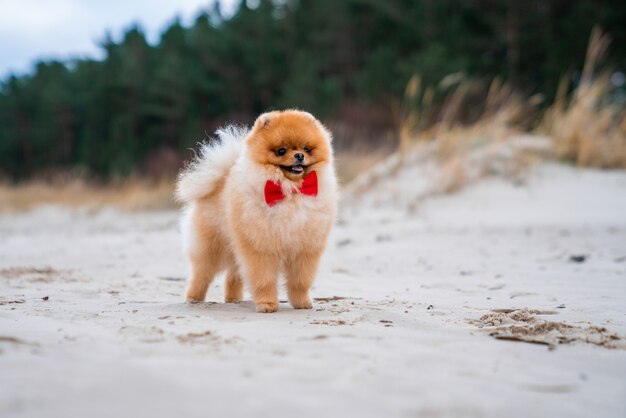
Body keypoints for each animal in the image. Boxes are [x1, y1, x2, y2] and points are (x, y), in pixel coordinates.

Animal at [176, 109, 336, 312]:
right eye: (281, 151)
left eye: (307, 149)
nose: (299, 155)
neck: (290, 190)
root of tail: (221, 178)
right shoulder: (260, 246)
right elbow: (263, 278)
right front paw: (267, 304)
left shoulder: (304, 249)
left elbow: (300, 281)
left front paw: (302, 303)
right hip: (211, 246)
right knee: (201, 273)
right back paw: (194, 298)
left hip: (235, 245)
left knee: (233, 274)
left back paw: (233, 298)